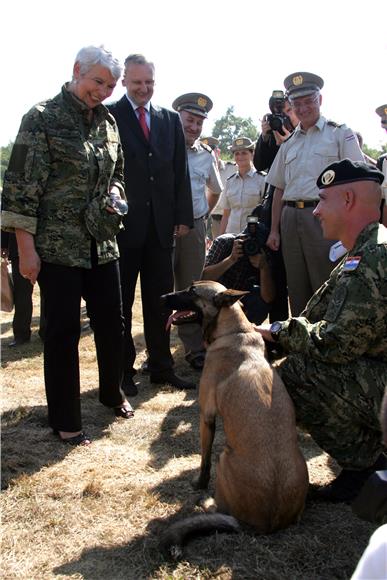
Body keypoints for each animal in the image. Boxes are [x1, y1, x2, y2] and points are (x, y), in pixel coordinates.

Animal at [160, 280, 310, 556]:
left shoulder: (206, 415)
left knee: (220, 505)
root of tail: (265, 524)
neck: (234, 331)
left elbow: (204, 460)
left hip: (224, 457)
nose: (163, 297)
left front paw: (199, 485)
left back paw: (206, 501)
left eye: (192, 291)